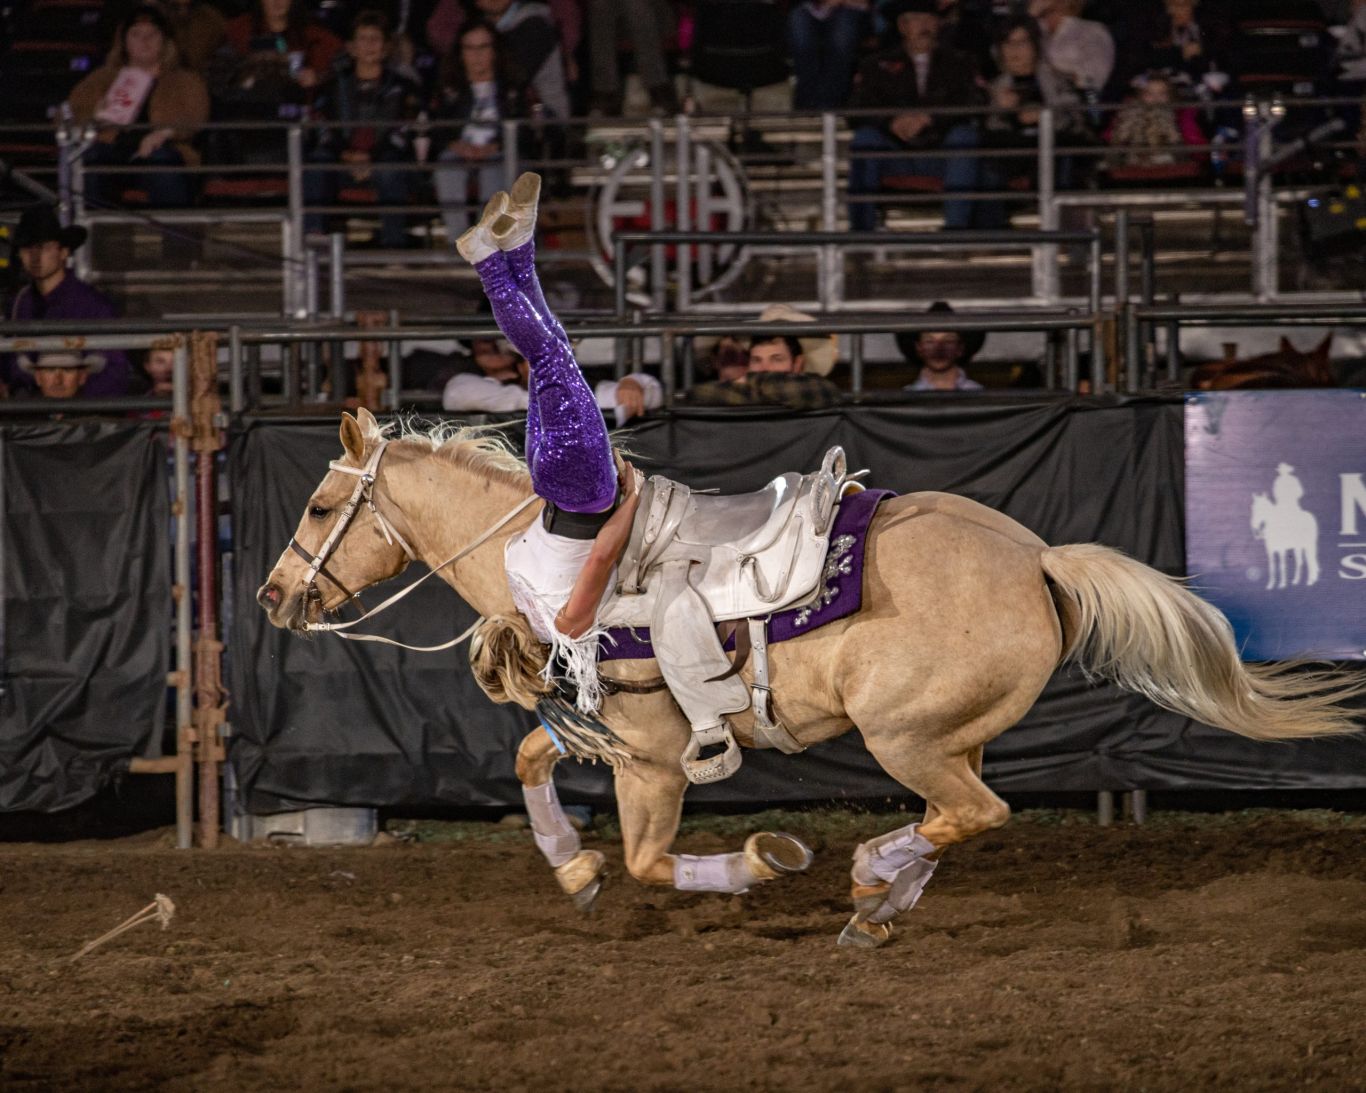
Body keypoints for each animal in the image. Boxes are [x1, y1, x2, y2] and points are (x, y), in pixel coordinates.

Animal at [258, 409, 1366, 945]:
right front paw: (571, 870)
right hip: (948, 735)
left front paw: (761, 863)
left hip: (904, 732)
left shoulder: (653, 763)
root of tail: (1038, 558)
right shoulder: (602, 739)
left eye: (318, 507)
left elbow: (651, 862)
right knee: (961, 815)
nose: (271, 596)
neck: (559, 562)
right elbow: (533, 761)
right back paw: (878, 905)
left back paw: (869, 880)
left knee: (975, 814)